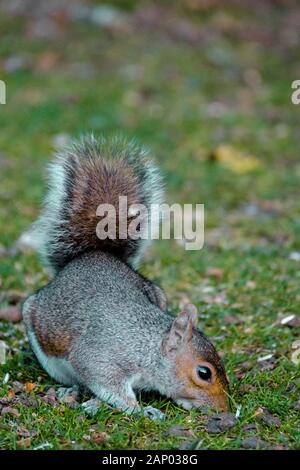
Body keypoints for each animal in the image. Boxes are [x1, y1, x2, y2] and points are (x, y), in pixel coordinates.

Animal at [22, 134, 229, 416]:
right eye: (204, 373)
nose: (226, 408)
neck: (148, 347)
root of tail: (94, 254)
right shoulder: (101, 358)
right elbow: (110, 386)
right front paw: (143, 410)